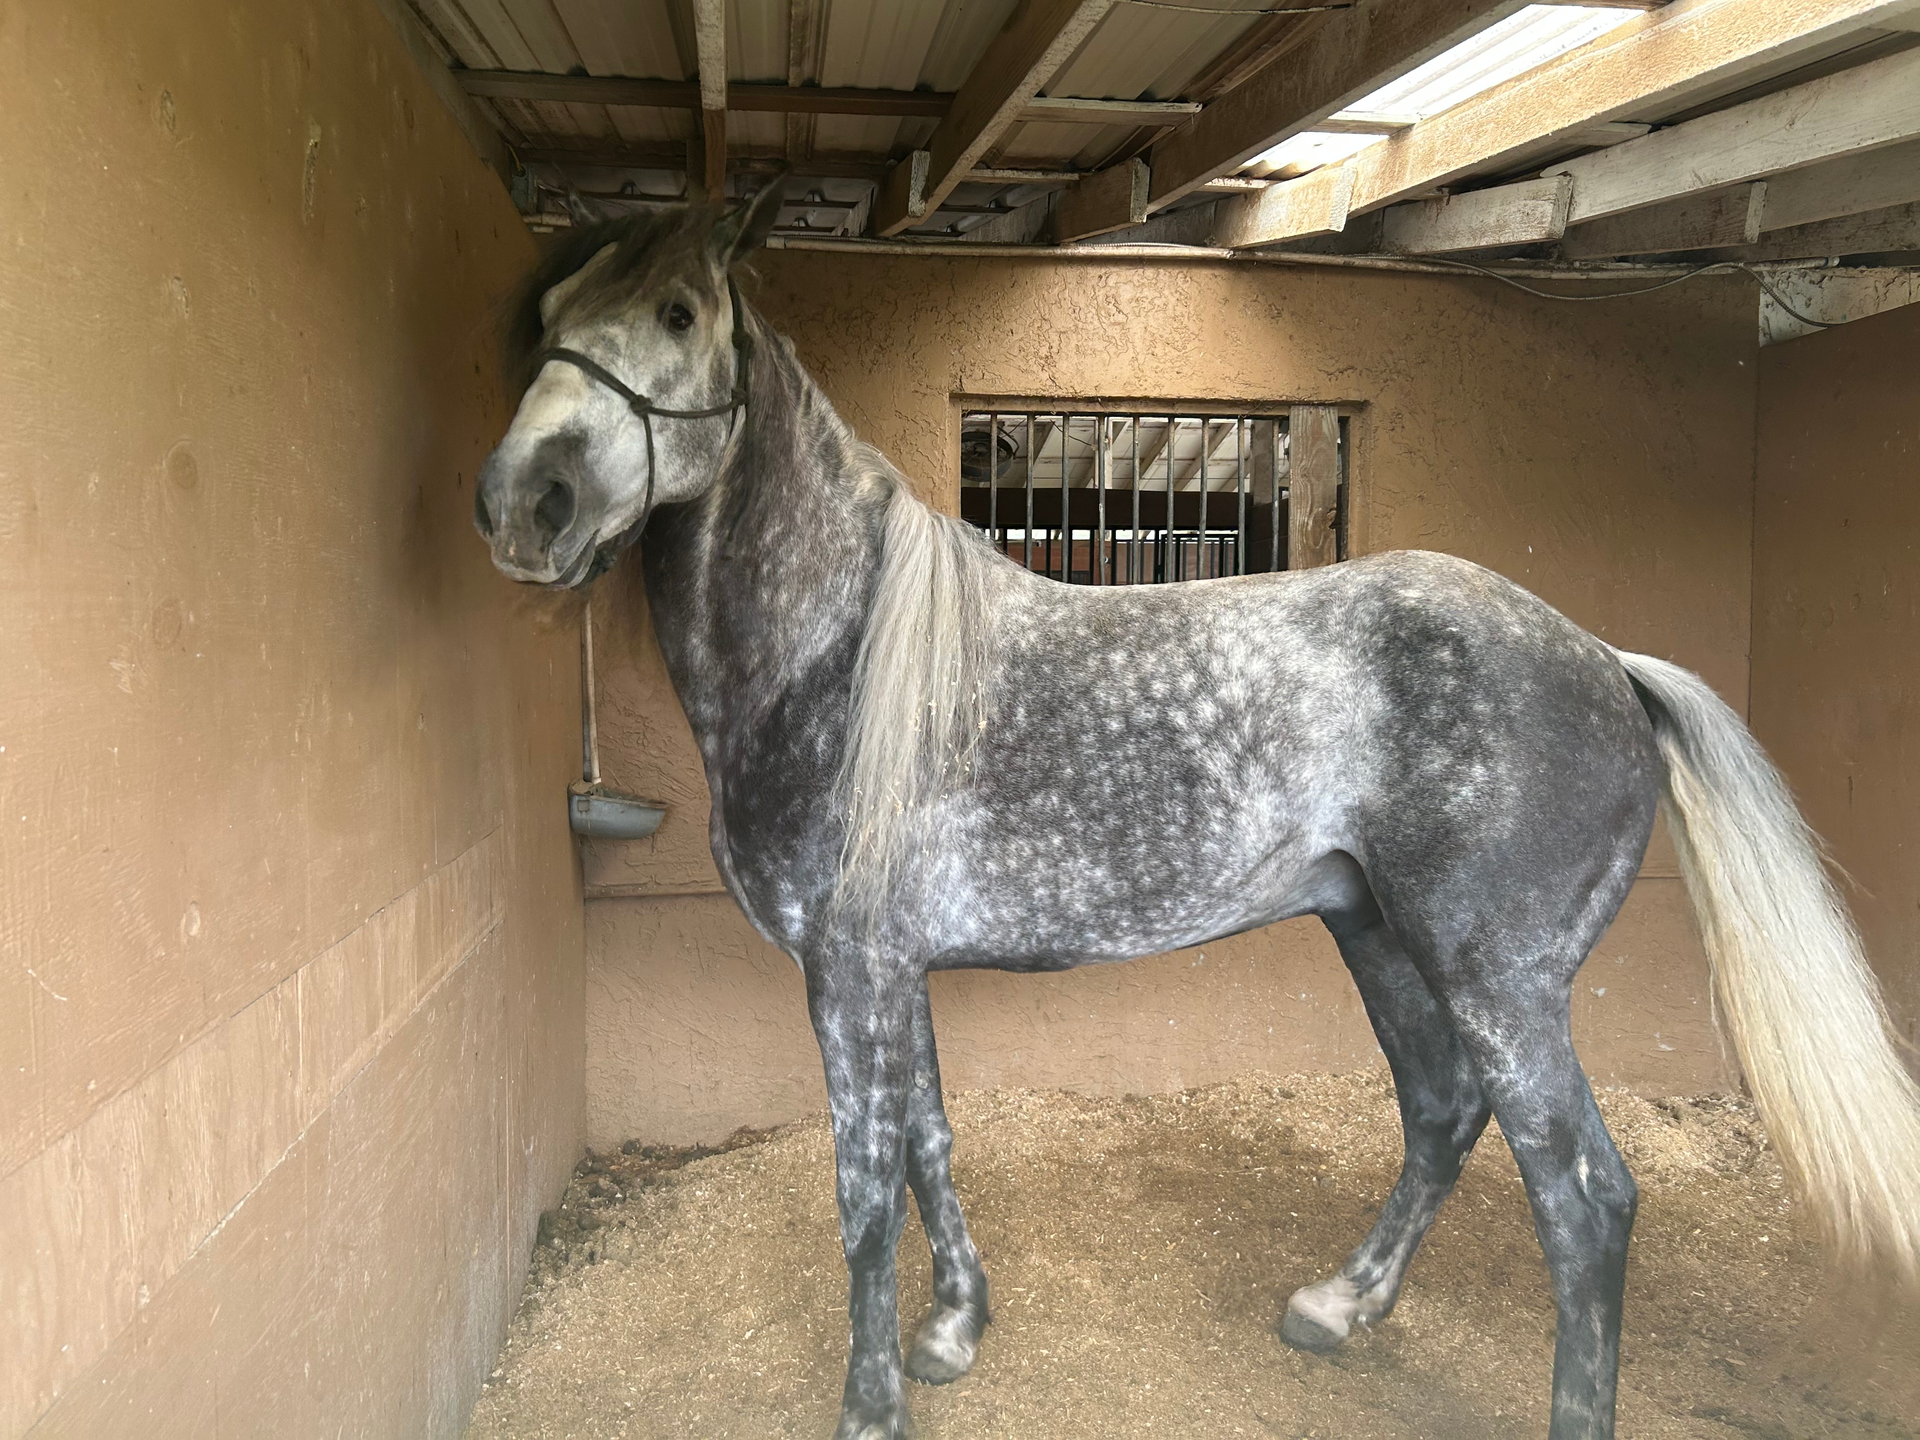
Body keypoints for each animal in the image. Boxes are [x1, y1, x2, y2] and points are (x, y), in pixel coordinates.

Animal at [473, 185, 1920, 1440]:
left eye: (676, 314)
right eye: (547, 311)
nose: (520, 504)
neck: (843, 659)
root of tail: (1610, 661)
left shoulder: (849, 973)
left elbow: (864, 1195)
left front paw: (872, 1403)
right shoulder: (891, 970)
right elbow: (932, 1140)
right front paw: (954, 1331)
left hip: (1498, 978)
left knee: (1586, 1202)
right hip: (1382, 940)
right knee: (1443, 1114)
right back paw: (1338, 1307)